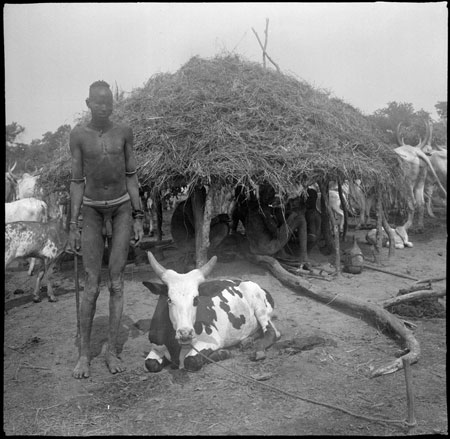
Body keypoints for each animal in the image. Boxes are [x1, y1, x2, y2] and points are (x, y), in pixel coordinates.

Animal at [142, 253, 280, 372]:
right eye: (169, 299)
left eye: (196, 299)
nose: (185, 333)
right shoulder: (156, 346)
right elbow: (150, 364)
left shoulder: (211, 340)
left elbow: (191, 361)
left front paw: (222, 353)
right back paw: (247, 341)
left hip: (259, 306)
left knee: (272, 332)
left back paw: (258, 351)